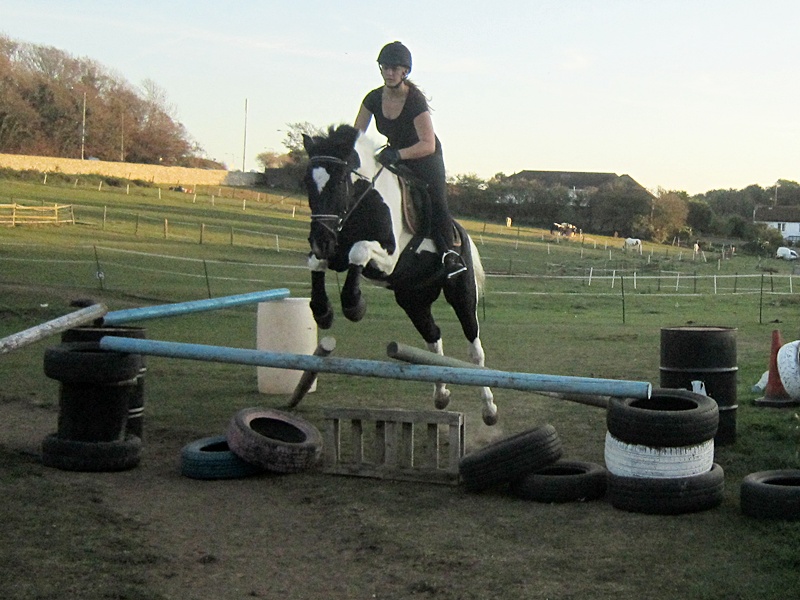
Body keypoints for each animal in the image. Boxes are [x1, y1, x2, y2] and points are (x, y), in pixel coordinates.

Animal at [301, 124, 497, 425]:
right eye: (307, 184)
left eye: (338, 182)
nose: (320, 240)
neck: (363, 201)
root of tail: (461, 233)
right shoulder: (335, 248)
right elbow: (317, 263)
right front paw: (322, 311)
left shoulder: (388, 257)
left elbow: (358, 252)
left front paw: (353, 304)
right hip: (413, 299)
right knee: (433, 337)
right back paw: (441, 395)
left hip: (461, 294)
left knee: (474, 349)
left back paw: (489, 409)